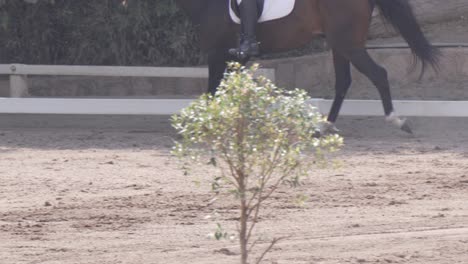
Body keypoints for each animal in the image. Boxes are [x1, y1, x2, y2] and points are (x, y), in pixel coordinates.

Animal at [176, 0, 438, 134]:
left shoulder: (217, 54)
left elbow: (212, 92)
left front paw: (207, 126)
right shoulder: (235, 59)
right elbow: (228, 93)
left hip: (347, 43)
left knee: (378, 74)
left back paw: (397, 121)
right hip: (339, 44)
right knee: (344, 82)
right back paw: (325, 127)